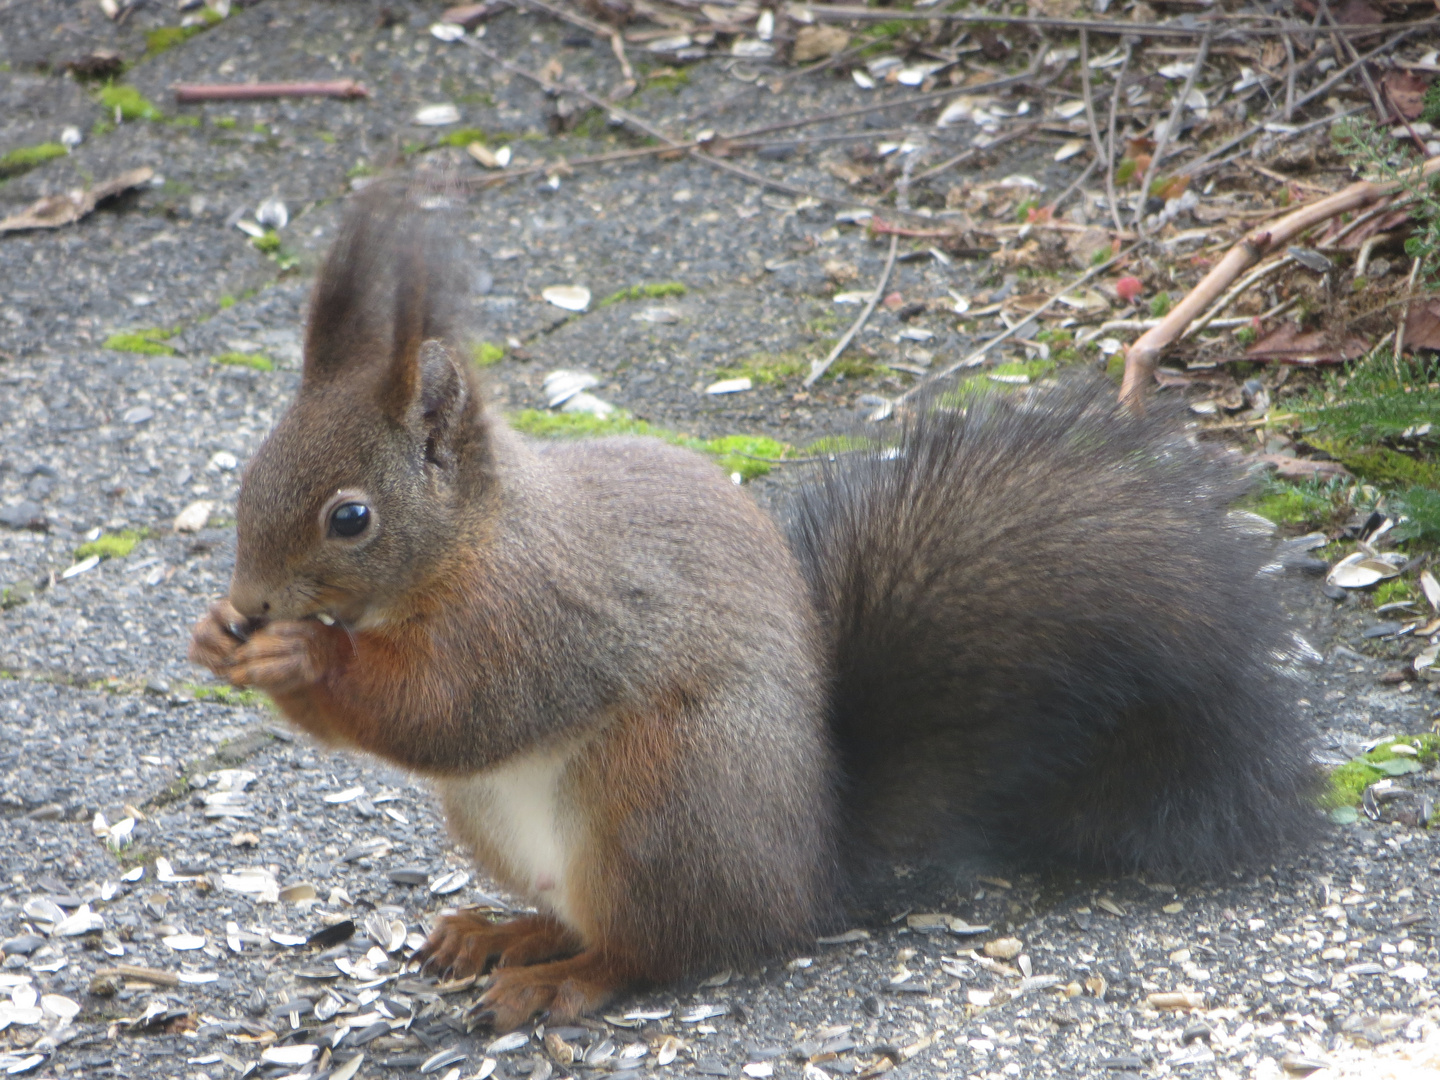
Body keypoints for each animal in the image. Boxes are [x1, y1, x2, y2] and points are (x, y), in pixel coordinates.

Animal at [191, 185, 1319, 1031]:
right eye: (250, 471)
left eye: (351, 518)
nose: (250, 602)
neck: (474, 541)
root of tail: (808, 876)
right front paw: (219, 636)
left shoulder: (540, 618)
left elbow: (457, 713)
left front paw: (299, 658)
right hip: (513, 826)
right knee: (598, 923)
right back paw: (503, 934)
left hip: (663, 799)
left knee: (651, 951)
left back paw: (556, 982)